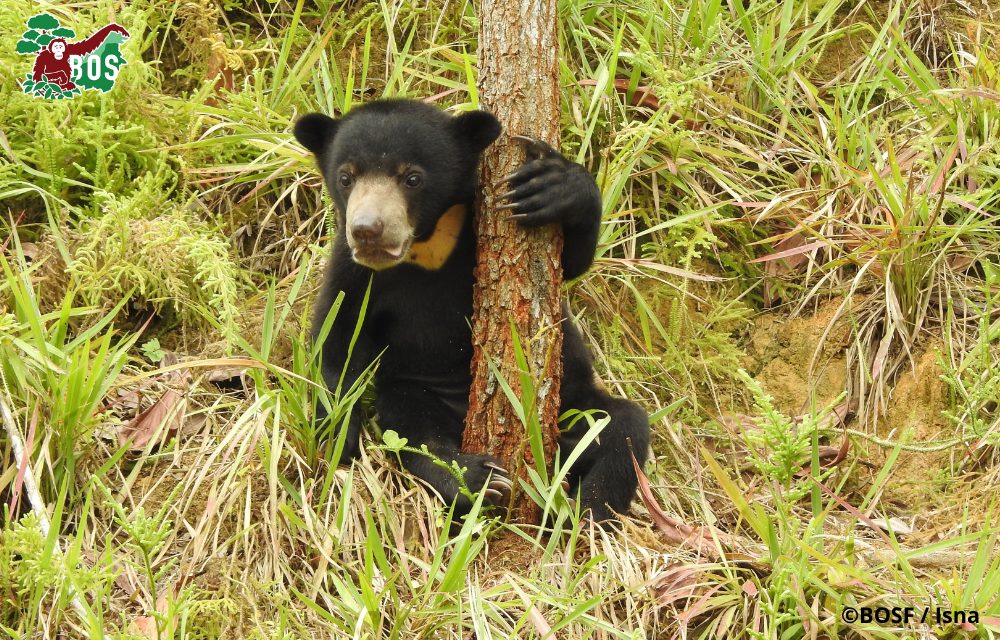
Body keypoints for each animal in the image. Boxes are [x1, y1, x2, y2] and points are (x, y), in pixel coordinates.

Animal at [292, 99, 648, 520]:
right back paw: (478, 479)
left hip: (572, 404)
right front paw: (337, 439)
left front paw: (551, 188)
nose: (367, 231)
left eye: (413, 178)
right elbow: (336, 342)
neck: (427, 247)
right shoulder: (352, 272)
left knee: (623, 429)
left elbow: (570, 263)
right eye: (346, 177)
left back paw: (581, 511)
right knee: (415, 431)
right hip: (419, 390)